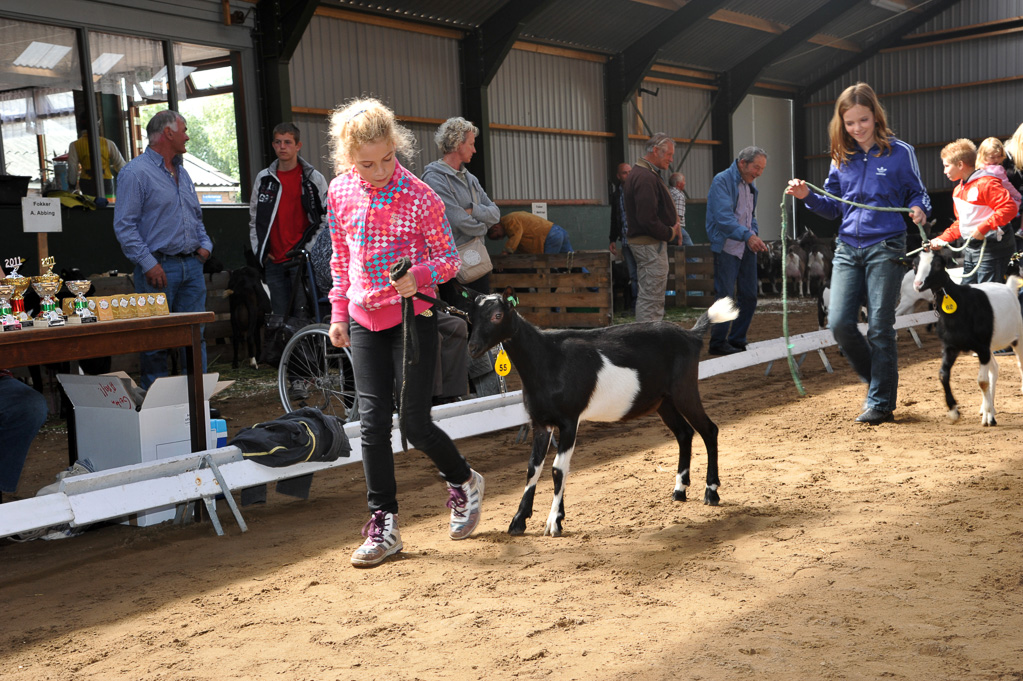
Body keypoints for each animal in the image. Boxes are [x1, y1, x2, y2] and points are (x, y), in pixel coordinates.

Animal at [468, 288, 740, 535]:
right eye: (471, 315)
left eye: (497, 315)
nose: (473, 347)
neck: (548, 358)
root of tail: (691, 335)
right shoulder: (541, 423)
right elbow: (533, 468)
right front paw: (518, 521)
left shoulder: (569, 420)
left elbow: (557, 469)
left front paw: (554, 522)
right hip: (663, 401)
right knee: (684, 433)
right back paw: (679, 490)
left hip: (685, 390)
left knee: (709, 430)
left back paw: (711, 492)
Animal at [912, 249, 1023, 425]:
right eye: (914, 265)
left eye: (937, 265)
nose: (918, 284)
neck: (960, 302)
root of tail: (1009, 288)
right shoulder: (952, 346)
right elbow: (943, 374)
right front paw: (953, 411)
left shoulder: (982, 348)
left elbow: (982, 381)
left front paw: (989, 418)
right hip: (990, 345)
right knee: (995, 369)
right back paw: (989, 407)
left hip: (1017, 336)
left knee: (1019, 364)